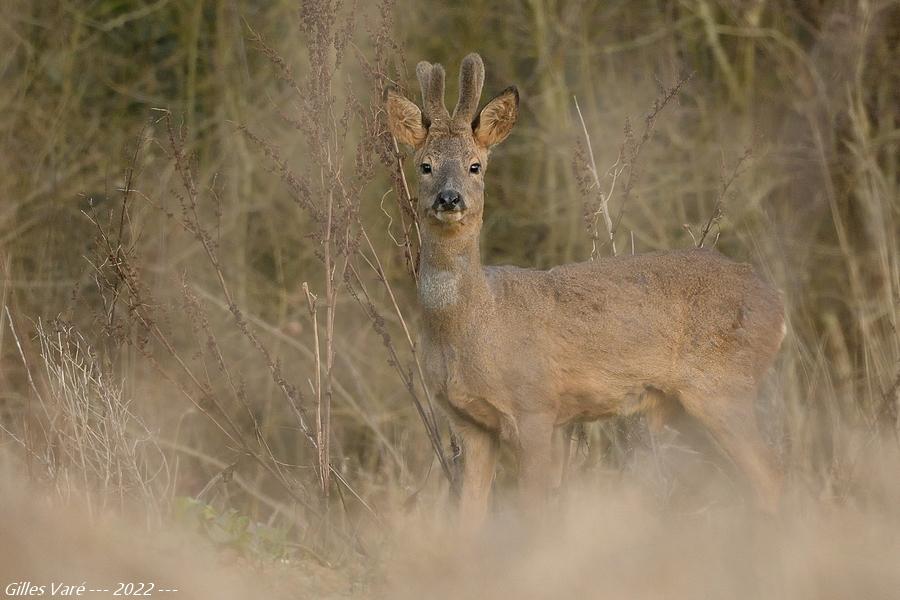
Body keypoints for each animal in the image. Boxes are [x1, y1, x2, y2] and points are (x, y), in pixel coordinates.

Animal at [384, 52, 784, 528]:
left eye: (475, 165)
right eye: (424, 165)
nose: (449, 198)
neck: (476, 321)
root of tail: (777, 306)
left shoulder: (536, 407)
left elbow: (536, 511)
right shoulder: (470, 424)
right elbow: (470, 521)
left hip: (724, 386)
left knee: (774, 478)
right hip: (689, 408)